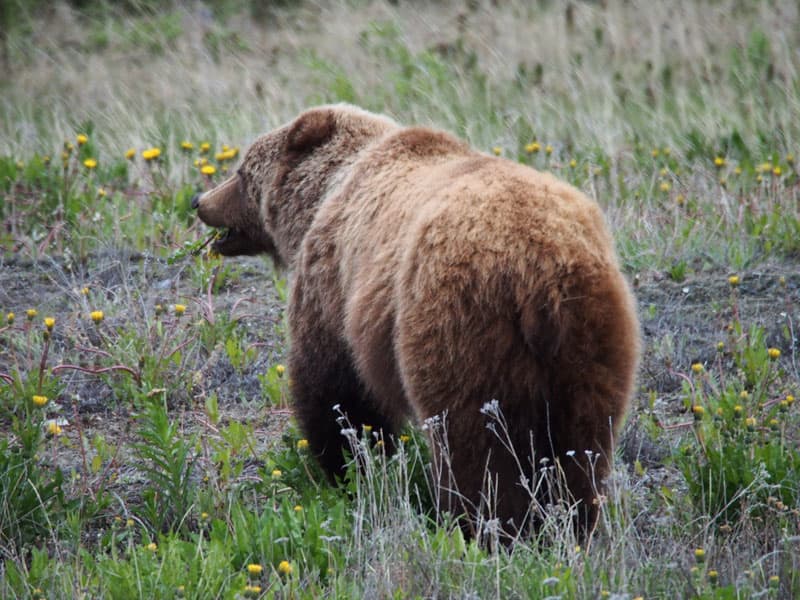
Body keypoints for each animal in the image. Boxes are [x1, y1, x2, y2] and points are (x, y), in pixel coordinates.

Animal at [191, 103, 640, 540]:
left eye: (241, 171)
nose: (199, 200)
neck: (326, 192)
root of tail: (542, 266)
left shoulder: (333, 283)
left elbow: (336, 390)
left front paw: (346, 468)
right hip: (592, 338)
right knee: (582, 442)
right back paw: (573, 522)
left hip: (459, 324)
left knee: (473, 442)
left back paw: (479, 525)